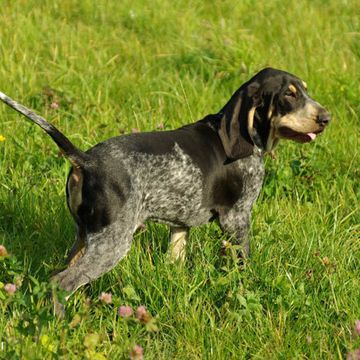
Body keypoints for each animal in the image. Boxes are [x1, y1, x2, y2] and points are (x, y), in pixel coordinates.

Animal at [0, 67, 330, 300]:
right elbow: (242, 264)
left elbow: (176, 257)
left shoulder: (180, 223)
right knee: (62, 282)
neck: (245, 140)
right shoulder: (237, 218)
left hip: (85, 235)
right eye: (289, 95)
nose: (327, 117)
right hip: (113, 241)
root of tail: (87, 160)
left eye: (305, 91)